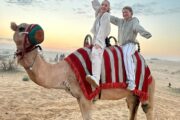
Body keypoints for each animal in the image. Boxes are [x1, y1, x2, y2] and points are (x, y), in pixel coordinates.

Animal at [10, 22, 155, 120]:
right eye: (21, 28)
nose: (40, 33)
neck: (66, 71)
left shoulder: (86, 97)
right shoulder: (79, 97)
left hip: (147, 85)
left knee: (147, 108)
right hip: (132, 94)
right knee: (132, 108)